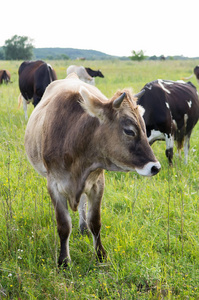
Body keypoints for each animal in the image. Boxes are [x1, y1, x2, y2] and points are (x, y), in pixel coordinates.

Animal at [24, 73, 162, 268]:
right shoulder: (54, 185)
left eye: (144, 127)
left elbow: (95, 222)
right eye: (129, 131)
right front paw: (64, 261)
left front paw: (100, 255)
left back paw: (83, 228)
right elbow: (63, 225)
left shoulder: (97, 183)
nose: (155, 167)